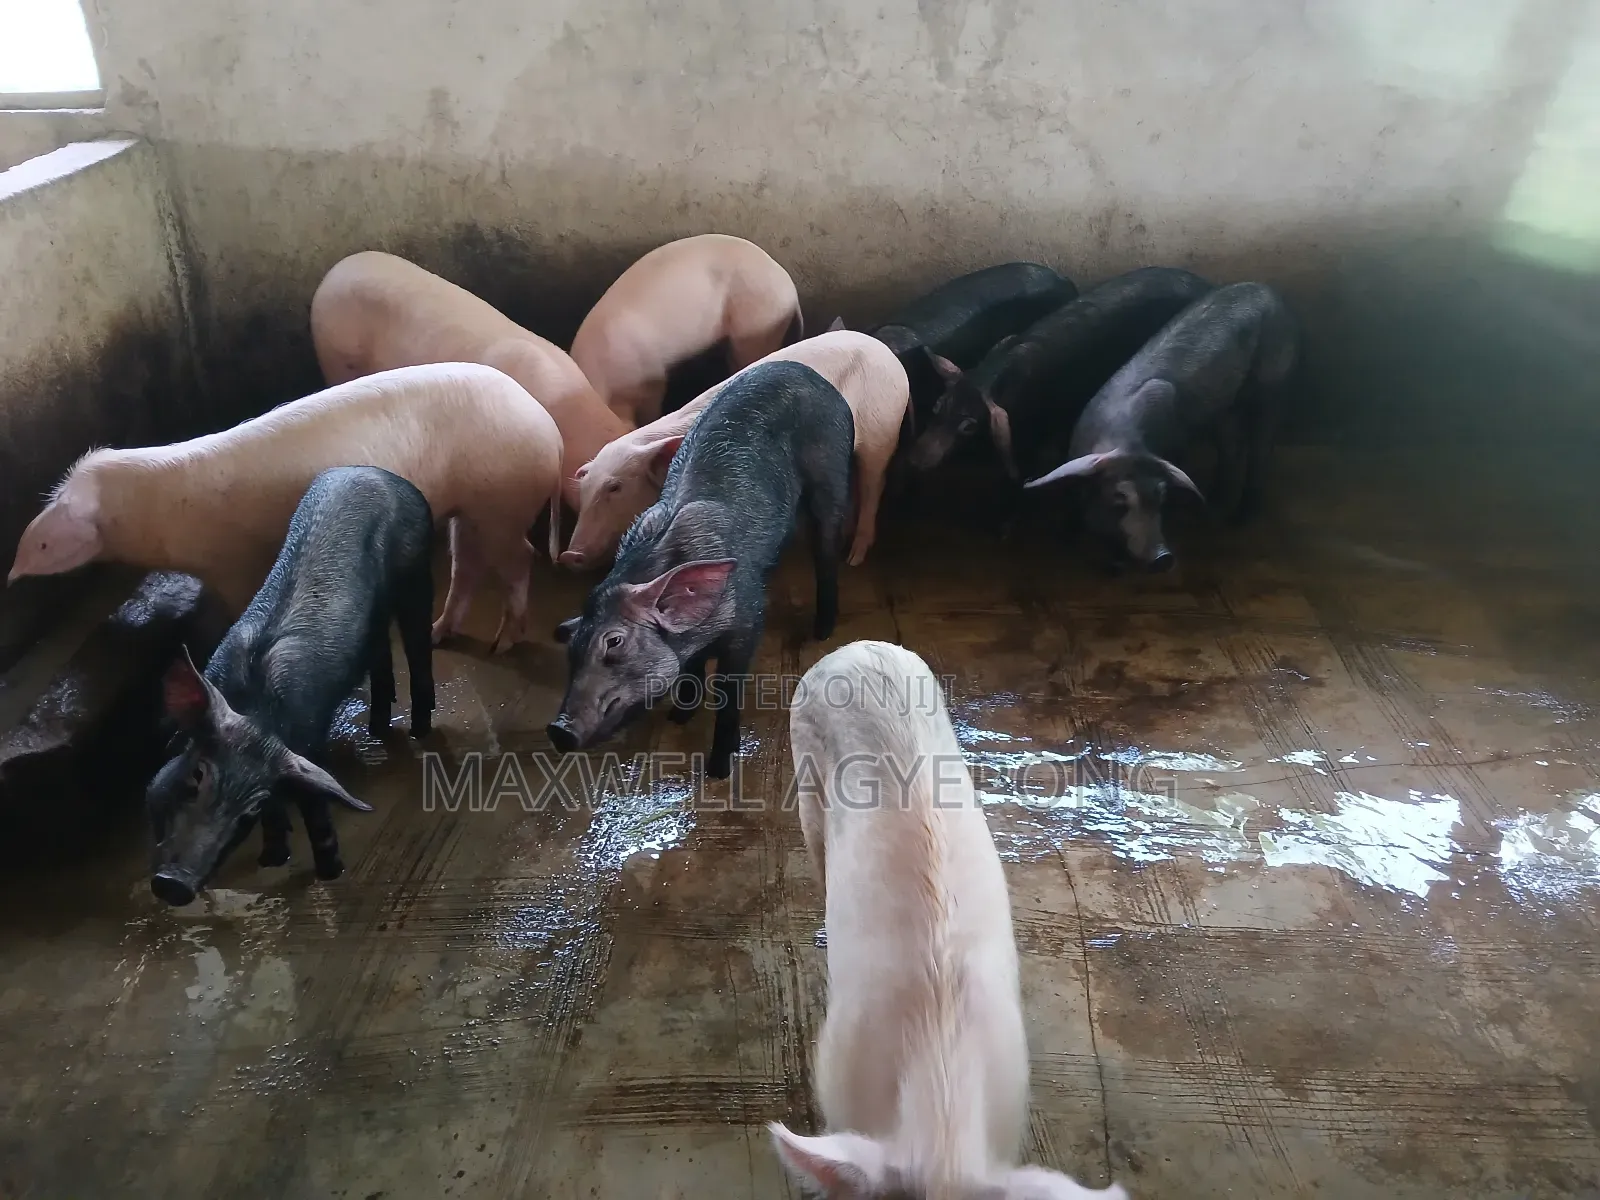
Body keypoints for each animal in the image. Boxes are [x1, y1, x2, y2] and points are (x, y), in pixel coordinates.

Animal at [9, 362, 562, 653]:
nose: (13, 575)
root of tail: (551, 432)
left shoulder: (235, 563)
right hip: (474, 504)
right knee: (468, 564)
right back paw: (437, 634)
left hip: (503, 498)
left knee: (520, 558)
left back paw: (504, 643)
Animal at [145, 466, 434, 907]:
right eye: (195, 776)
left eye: (247, 810)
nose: (175, 884)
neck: (256, 709)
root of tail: (380, 472)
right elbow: (279, 816)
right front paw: (271, 860)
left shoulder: (307, 747)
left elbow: (317, 812)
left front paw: (330, 874)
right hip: (377, 622)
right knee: (382, 655)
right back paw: (378, 726)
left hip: (418, 573)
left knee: (419, 650)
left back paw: (420, 730)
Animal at [547, 360, 853, 780]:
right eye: (573, 646)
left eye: (614, 642)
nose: (556, 729)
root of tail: (810, 373)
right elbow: (690, 668)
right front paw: (679, 716)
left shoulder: (748, 618)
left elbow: (727, 689)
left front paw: (719, 769)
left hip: (832, 470)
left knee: (826, 549)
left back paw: (821, 631)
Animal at [562, 330, 909, 570]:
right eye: (585, 489)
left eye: (615, 488)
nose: (568, 554)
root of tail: (889, 356)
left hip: (882, 429)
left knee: (875, 482)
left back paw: (854, 557)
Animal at [1024, 281, 1298, 572]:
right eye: (1119, 501)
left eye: (1161, 499)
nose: (1164, 557)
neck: (1121, 440)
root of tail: (1266, 289)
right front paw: (1069, 538)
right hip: (1227, 407)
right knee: (1231, 447)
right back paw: (1213, 505)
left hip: (1275, 379)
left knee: (1261, 445)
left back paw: (1240, 519)